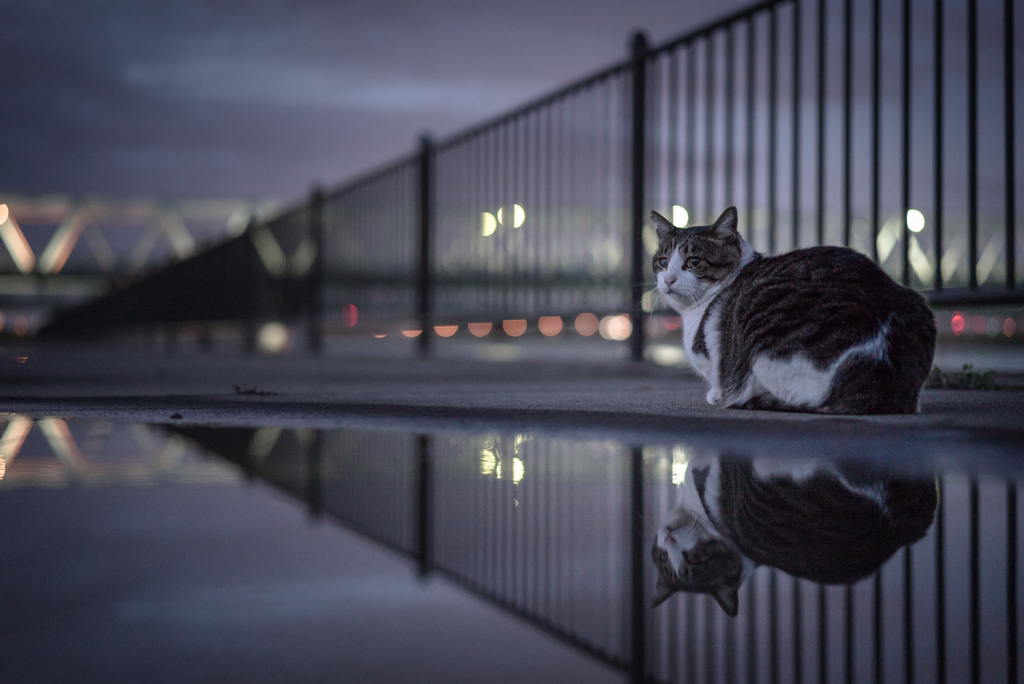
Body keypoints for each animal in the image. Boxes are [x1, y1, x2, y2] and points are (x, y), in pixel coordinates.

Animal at [655, 205, 937, 413]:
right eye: (663, 262)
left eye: (694, 262)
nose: (668, 279)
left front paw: (715, 394)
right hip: (917, 302)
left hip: (758, 299)